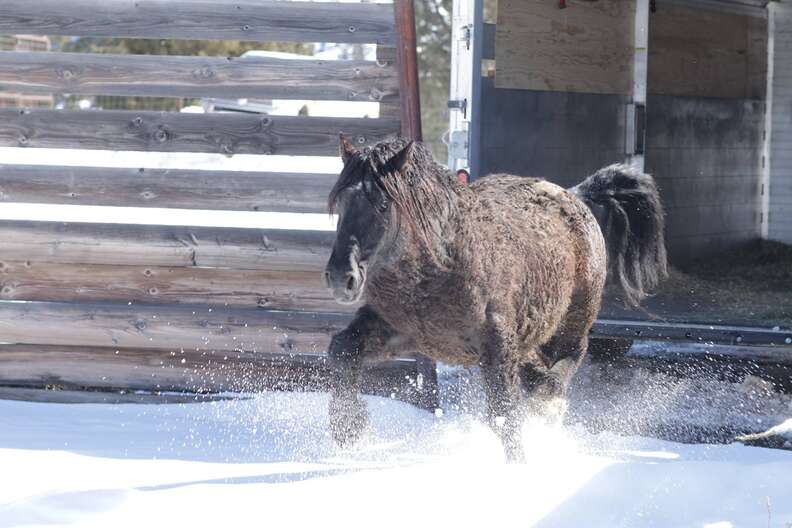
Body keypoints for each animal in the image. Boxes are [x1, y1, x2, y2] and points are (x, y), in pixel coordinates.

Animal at [324, 137, 664, 462]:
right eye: (340, 202)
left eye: (382, 205)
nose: (341, 277)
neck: (444, 265)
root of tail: (573, 195)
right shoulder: (404, 331)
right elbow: (343, 350)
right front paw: (349, 428)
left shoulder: (496, 346)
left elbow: (504, 415)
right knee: (538, 371)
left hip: (575, 317)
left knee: (569, 358)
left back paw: (549, 406)